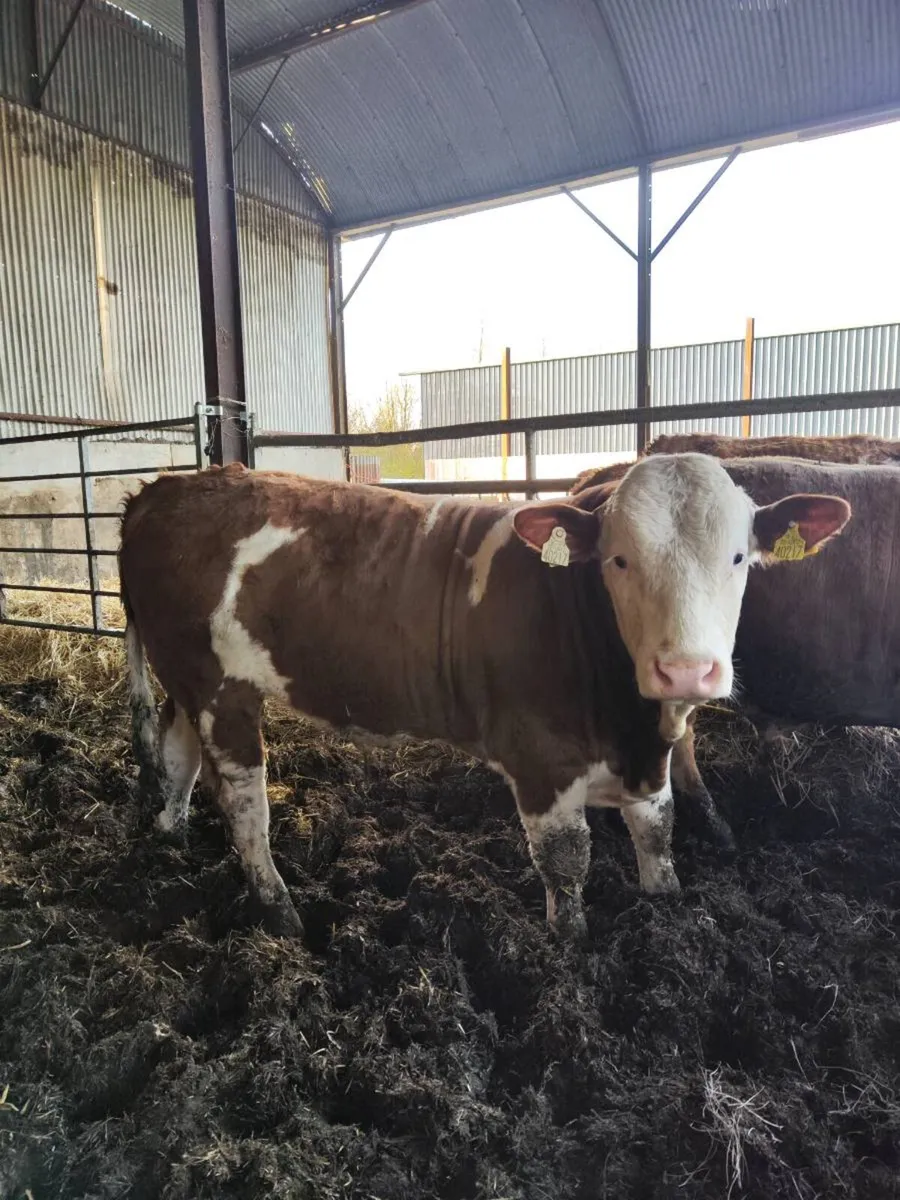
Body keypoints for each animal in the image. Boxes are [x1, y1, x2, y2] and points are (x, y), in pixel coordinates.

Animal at [119, 458, 850, 939]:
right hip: (220, 689)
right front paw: (569, 949)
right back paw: (279, 910)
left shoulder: (649, 763)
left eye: (739, 557)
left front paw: (665, 912)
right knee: (244, 804)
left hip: (187, 680)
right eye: (619, 560)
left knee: (178, 753)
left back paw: (169, 835)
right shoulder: (541, 758)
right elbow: (566, 860)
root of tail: (167, 486)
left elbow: (658, 834)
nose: (687, 672)